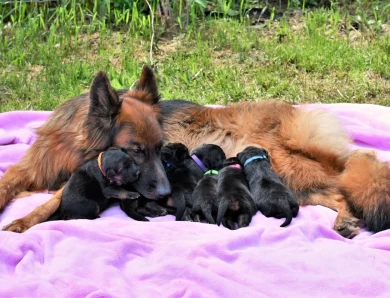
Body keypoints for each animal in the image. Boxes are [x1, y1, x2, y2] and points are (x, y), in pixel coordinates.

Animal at [0, 66, 390, 237]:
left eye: (158, 149)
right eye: (136, 151)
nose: (164, 193)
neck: (75, 142)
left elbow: (53, 199)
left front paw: (22, 221)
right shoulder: (33, 166)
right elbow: (9, 179)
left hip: (289, 168)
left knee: (343, 186)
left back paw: (346, 218)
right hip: (296, 182)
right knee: (335, 192)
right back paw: (346, 220)